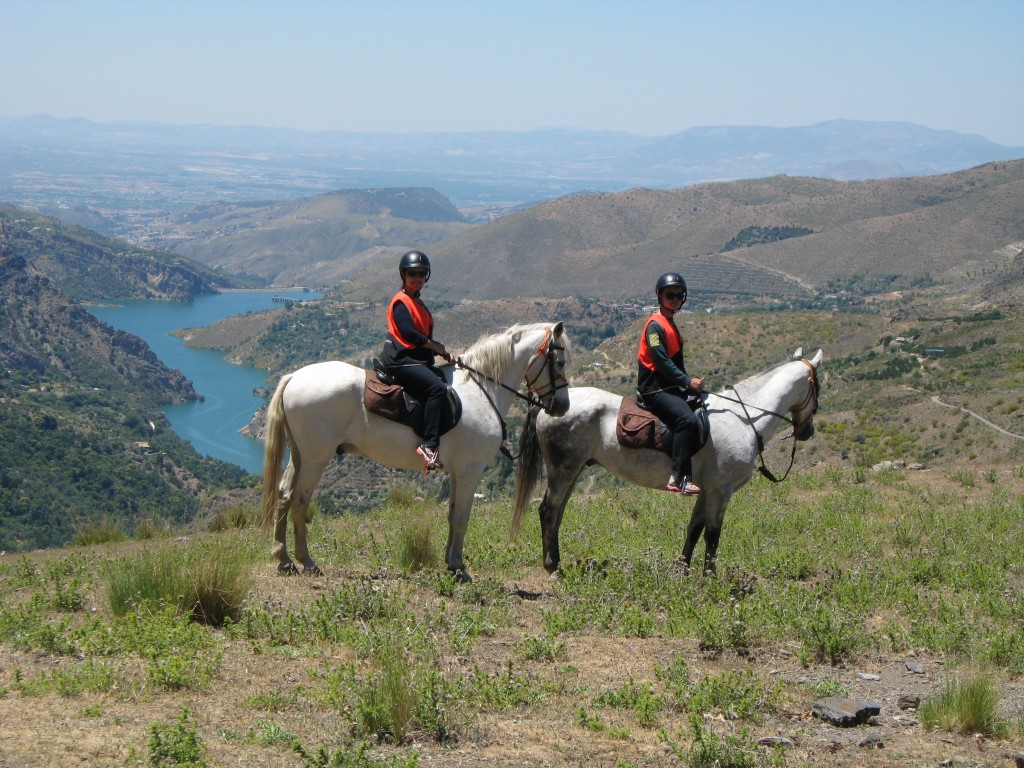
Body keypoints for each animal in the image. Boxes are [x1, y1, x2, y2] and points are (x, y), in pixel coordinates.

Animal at [264, 321, 569, 581]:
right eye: (560, 361)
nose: (562, 406)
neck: (481, 390)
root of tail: (294, 377)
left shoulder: (457, 472)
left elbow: (452, 514)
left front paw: (451, 564)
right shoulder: (470, 470)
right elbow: (462, 518)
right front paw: (459, 568)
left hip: (300, 456)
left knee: (284, 495)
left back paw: (284, 560)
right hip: (316, 458)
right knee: (300, 500)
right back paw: (307, 561)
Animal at [512, 348, 823, 577]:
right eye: (818, 386)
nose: (807, 431)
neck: (743, 418)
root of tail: (548, 405)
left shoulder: (706, 490)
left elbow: (694, 530)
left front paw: (682, 570)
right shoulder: (721, 491)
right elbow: (713, 535)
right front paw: (709, 576)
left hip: (573, 472)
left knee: (557, 514)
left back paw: (557, 562)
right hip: (563, 471)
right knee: (548, 512)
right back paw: (553, 568)